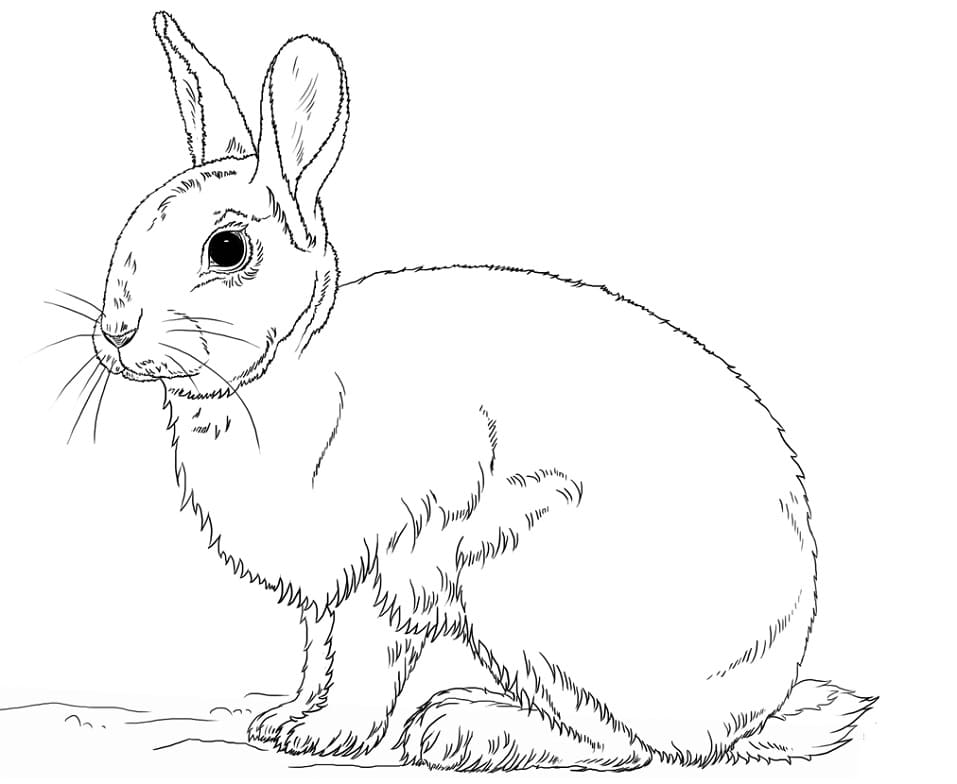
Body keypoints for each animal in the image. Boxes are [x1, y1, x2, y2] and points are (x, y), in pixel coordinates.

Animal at [86, 11, 875, 771]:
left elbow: (365, 660)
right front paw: (282, 722)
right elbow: (318, 654)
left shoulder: (393, 561)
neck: (290, 367)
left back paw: (463, 732)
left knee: (621, 744)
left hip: (527, 586)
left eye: (227, 249)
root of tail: (749, 710)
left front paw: (328, 737)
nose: (114, 332)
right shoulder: (325, 590)